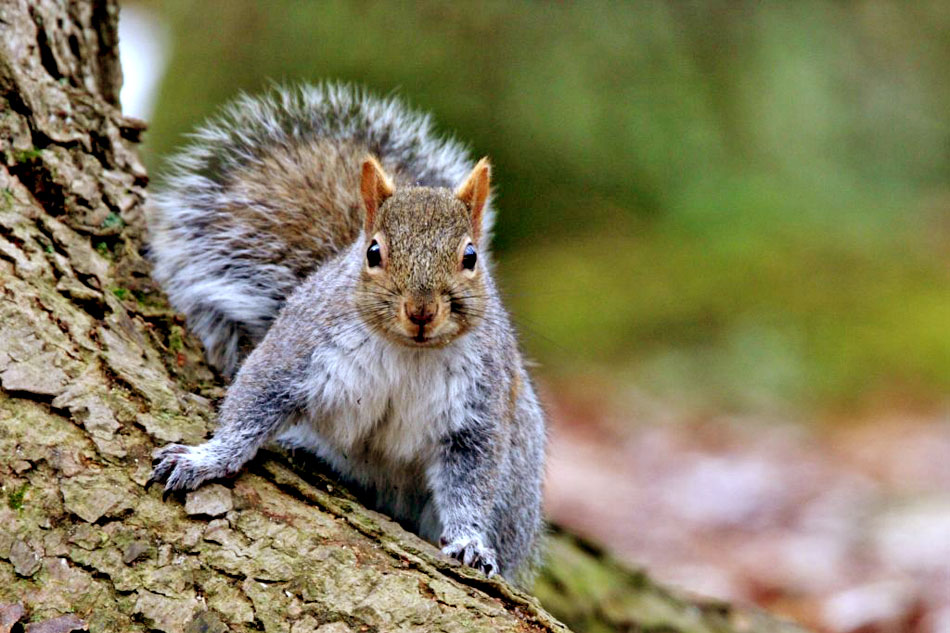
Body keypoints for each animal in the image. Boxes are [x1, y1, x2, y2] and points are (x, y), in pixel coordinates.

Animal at [146, 84, 548, 584]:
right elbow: (251, 403)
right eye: (373, 252)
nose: (421, 310)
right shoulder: (299, 347)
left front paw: (470, 543)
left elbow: (471, 481)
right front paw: (206, 459)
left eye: (471, 257)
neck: (407, 350)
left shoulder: (479, 405)